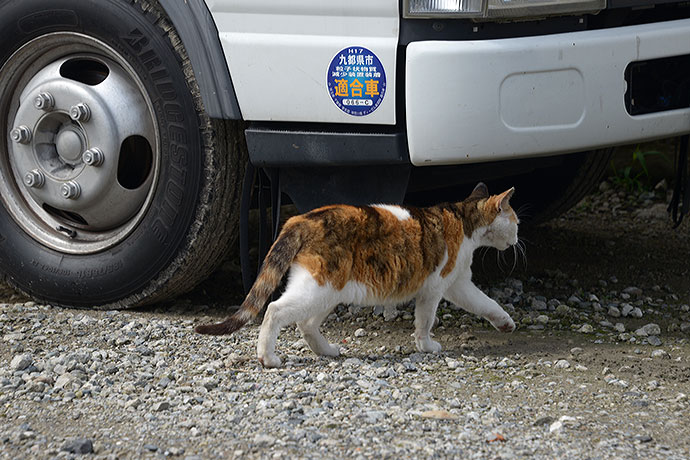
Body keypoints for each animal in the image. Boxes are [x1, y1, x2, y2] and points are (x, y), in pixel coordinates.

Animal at [194, 181, 516, 368]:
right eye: (516, 221)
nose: (515, 240)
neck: (463, 220)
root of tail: (300, 219)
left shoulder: (458, 284)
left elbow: (486, 303)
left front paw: (505, 323)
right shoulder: (434, 289)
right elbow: (425, 321)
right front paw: (426, 346)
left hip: (328, 291)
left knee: (305, 324)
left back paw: (326, 351)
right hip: (318, 288)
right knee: (274, 309)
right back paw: (268, 357)